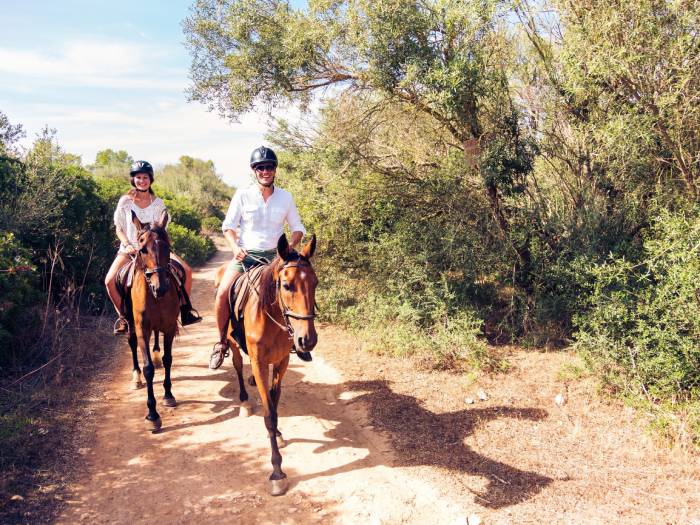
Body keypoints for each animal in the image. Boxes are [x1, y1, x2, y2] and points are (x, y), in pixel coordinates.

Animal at [226, 233, 318, 496]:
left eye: (315, 283)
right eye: (286, 286)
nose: (307, 340)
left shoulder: (281, 361)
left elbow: (275, 402)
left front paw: (277, 434)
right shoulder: (259, 362)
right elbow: (269, 413)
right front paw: (277, 471)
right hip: (231, 343)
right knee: (238, 365)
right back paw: (244, 401)